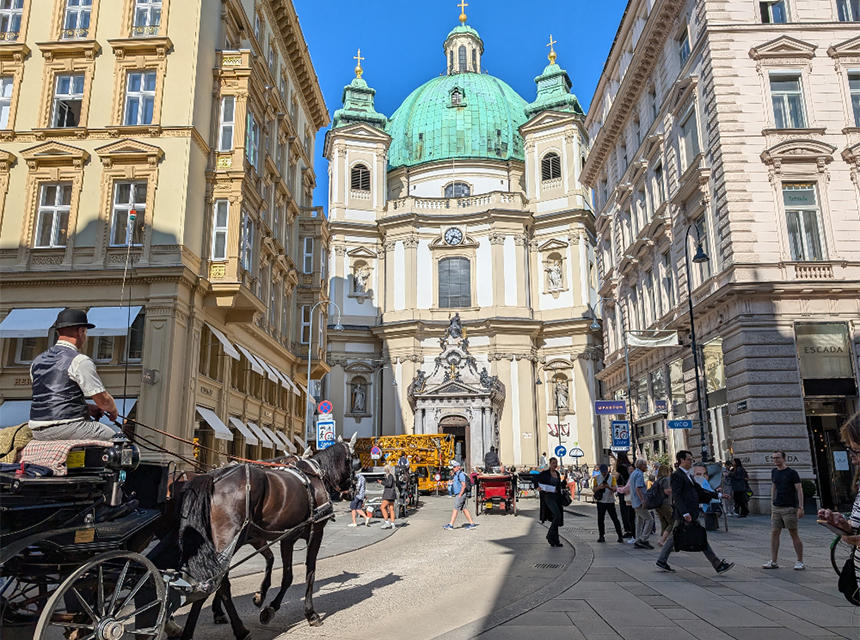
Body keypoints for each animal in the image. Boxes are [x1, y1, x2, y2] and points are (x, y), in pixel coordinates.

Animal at [171, 438, 356, 636]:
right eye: (353, 460)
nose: (352, 491)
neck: (315, 477)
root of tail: (213, 477)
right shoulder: (315, 533)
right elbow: (310, 572)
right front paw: (310, 613)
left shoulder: (285, 537)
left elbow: (286, 574)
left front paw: (268, 606)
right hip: (227, 540)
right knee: (214, 582)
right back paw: (235, 628)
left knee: (213, 582)